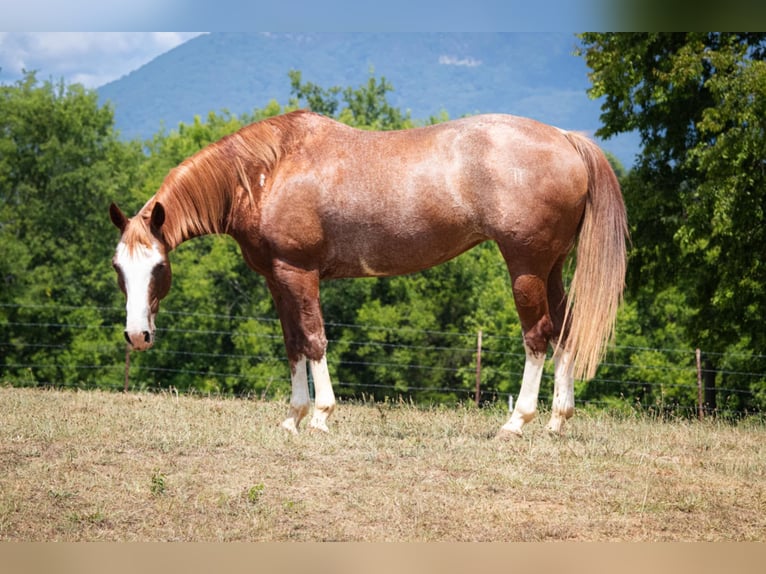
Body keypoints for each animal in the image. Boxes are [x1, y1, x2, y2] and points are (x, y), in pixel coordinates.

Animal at [112, 110, 632, 438]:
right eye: (119, 268)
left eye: (158, 266)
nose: (137, 335)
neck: (268, 171)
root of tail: (565, 137)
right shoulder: (277, 278)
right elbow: (293, 344)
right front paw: (294, 417)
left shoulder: (300, 273)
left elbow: (315, 340)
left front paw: (320, 416)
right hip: (551, 267)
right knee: (565, 332)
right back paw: (557, 420)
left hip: (525, 266)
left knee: (538, 336)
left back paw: (517, 422)